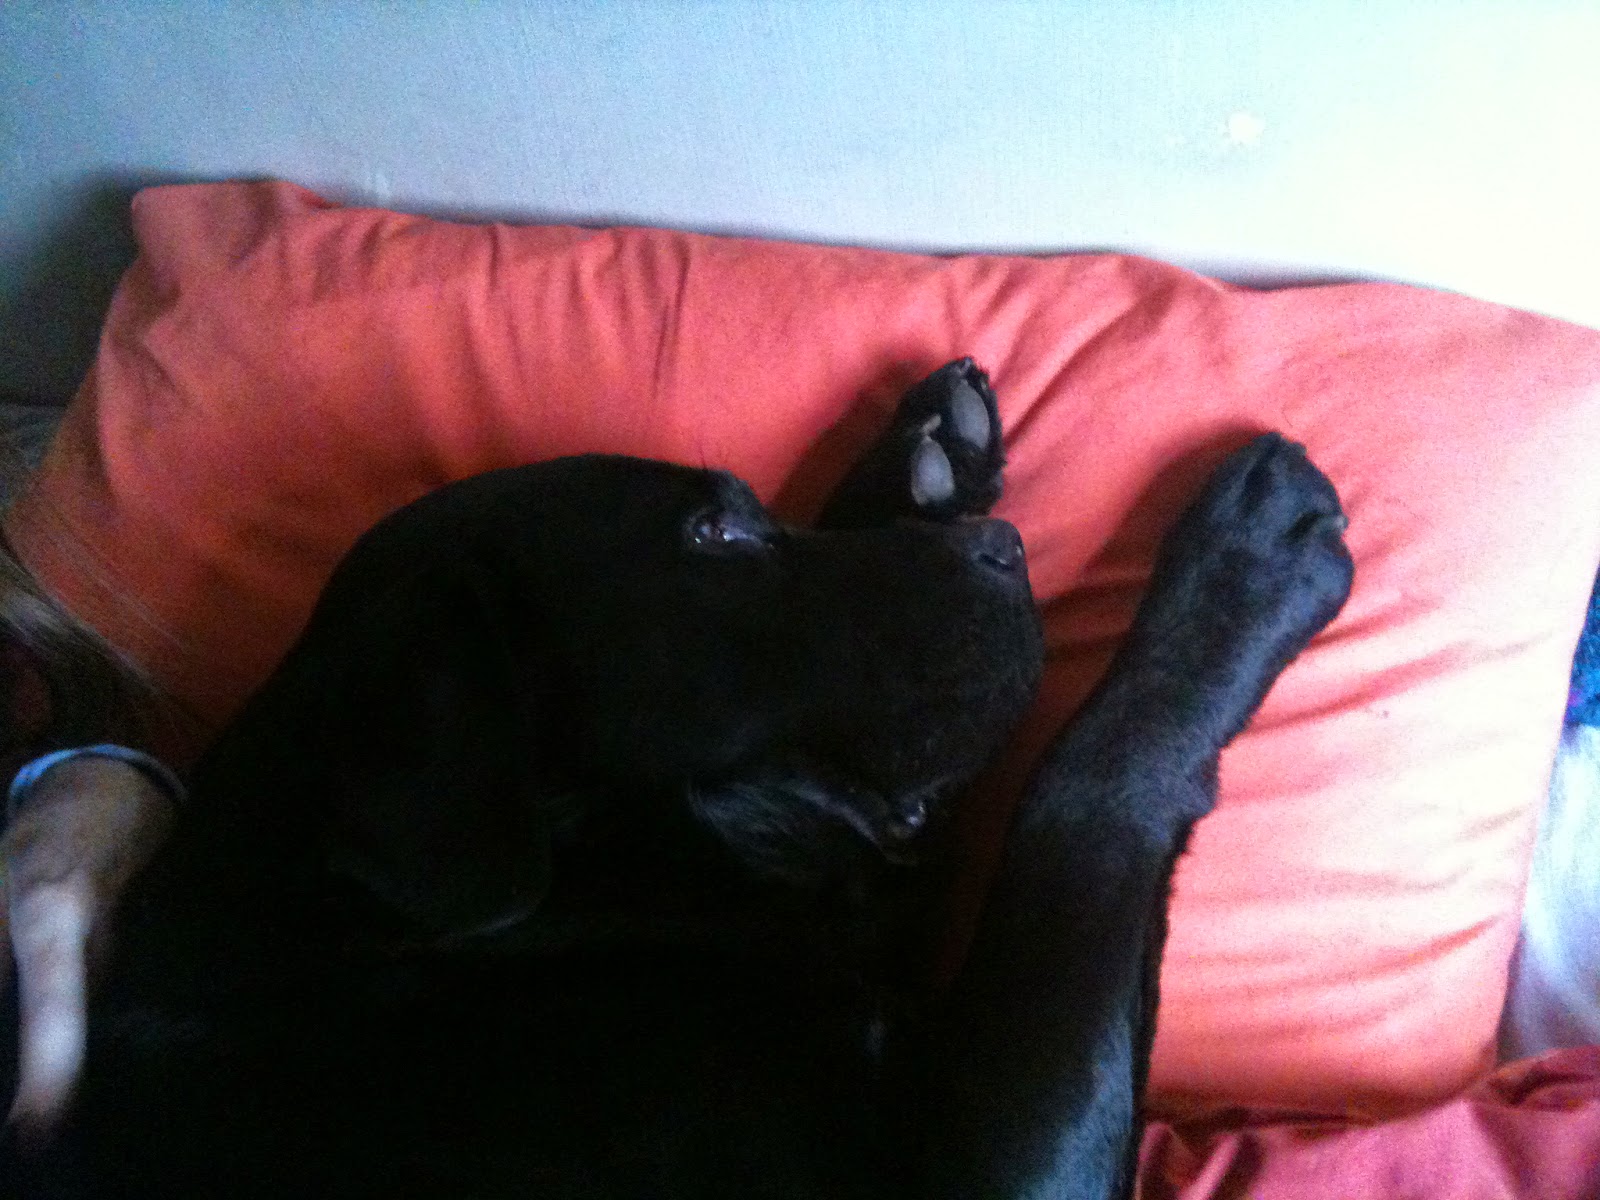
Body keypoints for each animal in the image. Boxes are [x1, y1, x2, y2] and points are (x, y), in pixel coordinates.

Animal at [1, 359, 1352, 1199]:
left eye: (748, 516)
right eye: (708, 538)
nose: (1001, 548)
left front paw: (918, 459)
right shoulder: (976, 1159)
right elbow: (1075, 810)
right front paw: (1234, 578)